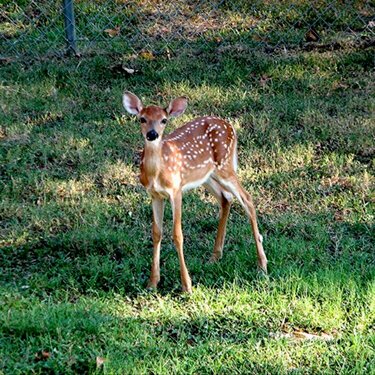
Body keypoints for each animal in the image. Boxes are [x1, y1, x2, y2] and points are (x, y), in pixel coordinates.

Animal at [123, 92, 268, 294]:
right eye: (142, 119)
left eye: (164, 120)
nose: (152, 134)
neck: (157, 172)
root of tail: (230, 126)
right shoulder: (154, 195)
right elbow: (156, 233)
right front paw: (152, 283)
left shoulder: (176, 190)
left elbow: (177, 234)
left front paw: (187, 286)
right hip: (207, 176)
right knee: (226, 198)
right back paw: (215, 256)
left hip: (225, 167)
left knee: (246, 198)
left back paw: (262, 265)